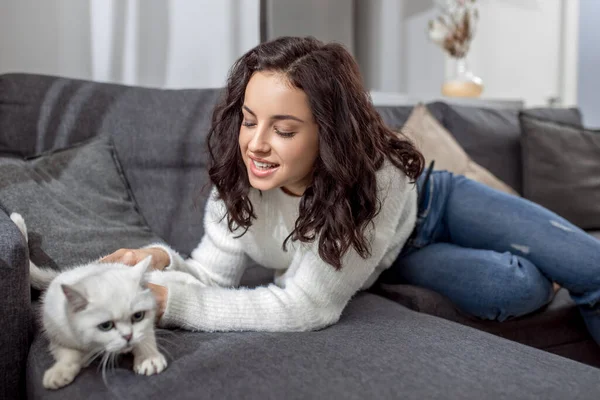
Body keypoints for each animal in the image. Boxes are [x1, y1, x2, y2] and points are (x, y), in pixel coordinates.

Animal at [8, 212, 195, 390]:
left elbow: (145, 334)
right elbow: (67, 354)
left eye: (137, 316)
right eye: (105, 325)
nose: (128, 336)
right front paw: (60, 372)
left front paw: (148, 358)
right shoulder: (57, 332)